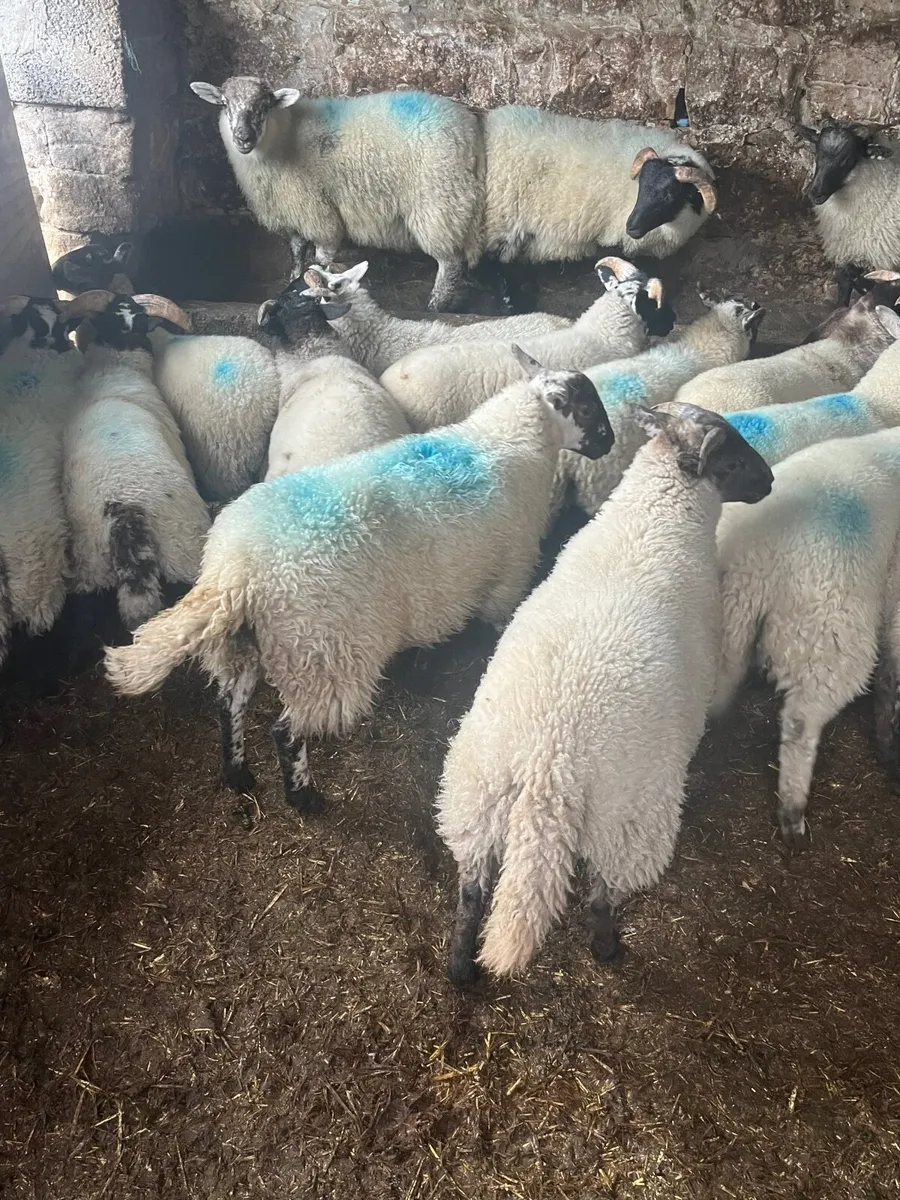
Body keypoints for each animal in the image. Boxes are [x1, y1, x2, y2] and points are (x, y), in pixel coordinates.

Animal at [103, 348, 616, 811]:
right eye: (588, 407)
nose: (609, 444)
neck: (508, 444)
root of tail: (237, 573)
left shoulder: (438, 590)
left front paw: (422, 669)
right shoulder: (505, 580)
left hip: (244, 644)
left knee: (230, 705)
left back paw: (238, 774)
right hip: (320, 653)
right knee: (285, 731)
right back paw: (303, 796)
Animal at [190, 76, 483, 312]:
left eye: (265, 105)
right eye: (224, 103)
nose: (243, 137)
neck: (283, 140)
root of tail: (470, 127)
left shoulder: (317, 212)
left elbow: (320, 258)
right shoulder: (292, 211)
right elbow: (297, 253)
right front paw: (290, 282)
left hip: (438, 202)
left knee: (450, 264)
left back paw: (435, 307)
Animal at [436, 403, 773, 985]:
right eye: (731, 457)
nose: (771, 480)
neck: (653, 518)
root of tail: (548, 767)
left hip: (472, 799)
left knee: (471, 891)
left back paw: (461, 970)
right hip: (630, 820)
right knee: (601, 896)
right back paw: (607, 948)